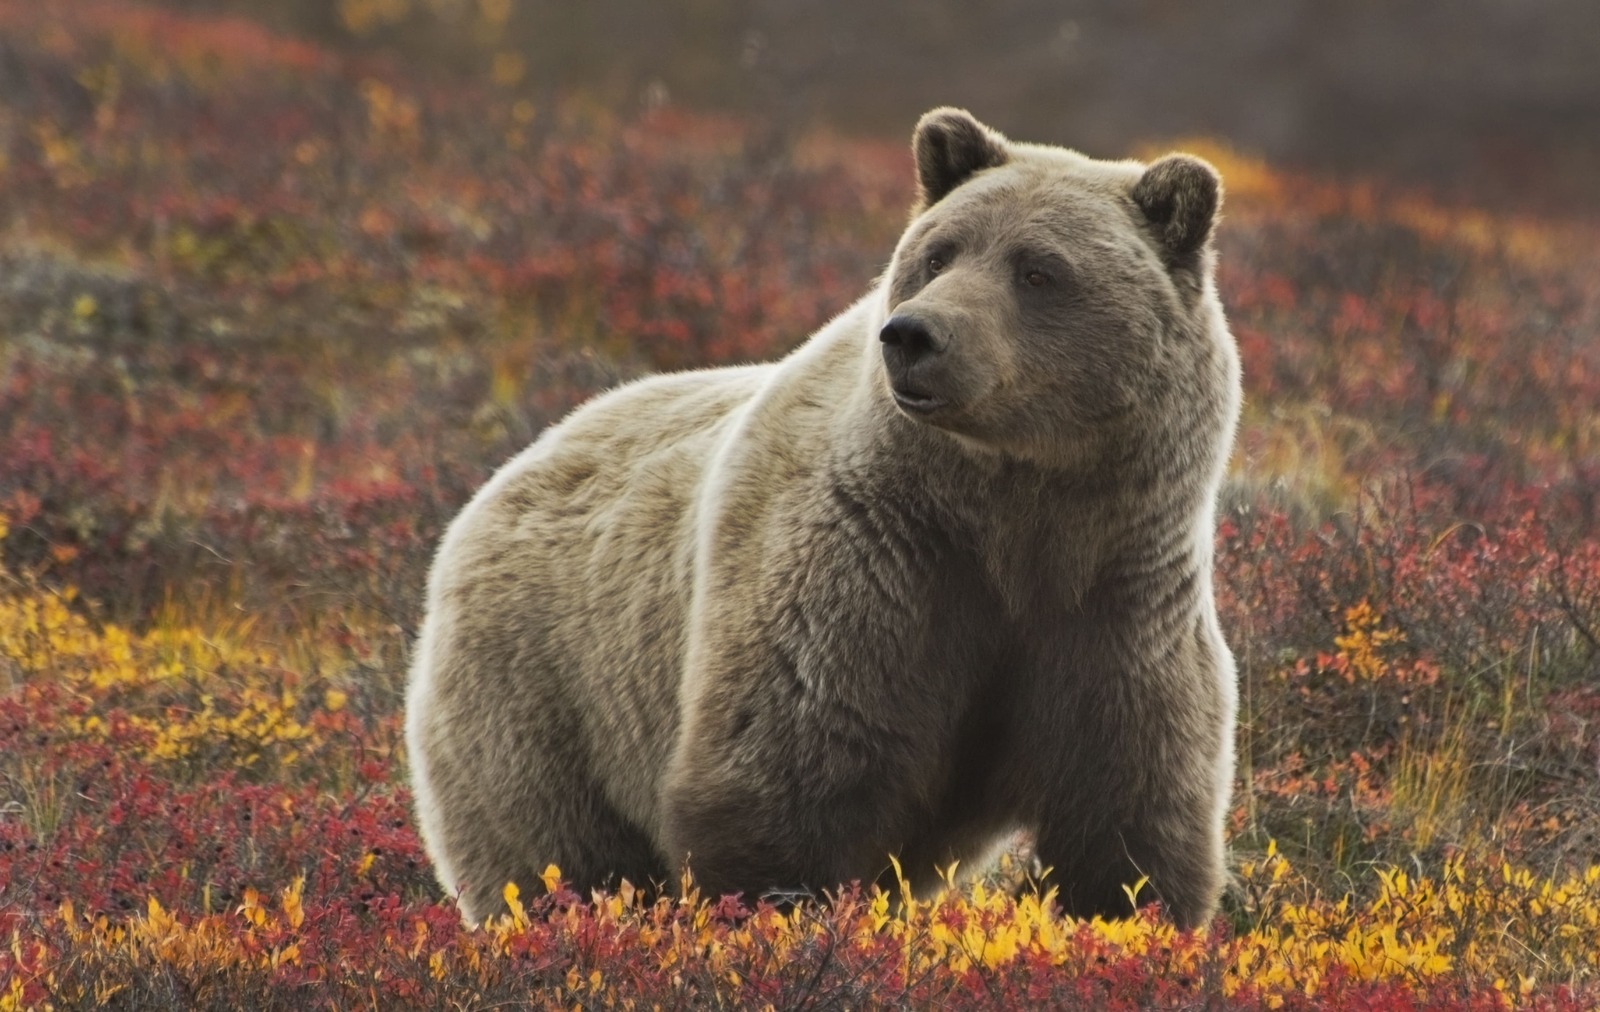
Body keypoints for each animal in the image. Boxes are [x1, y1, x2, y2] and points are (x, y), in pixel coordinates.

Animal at [404, 107, 1241, 930]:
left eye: (1038, 270)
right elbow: (785, 777)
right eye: (938, 254)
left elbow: (1126, 814)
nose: (913, 334)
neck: (1012, 511)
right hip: (544, 687)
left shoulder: (1115, 601)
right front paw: (778, 913)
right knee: (554, 854)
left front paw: (1126, 914)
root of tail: (510, 470)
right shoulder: (872, 566)